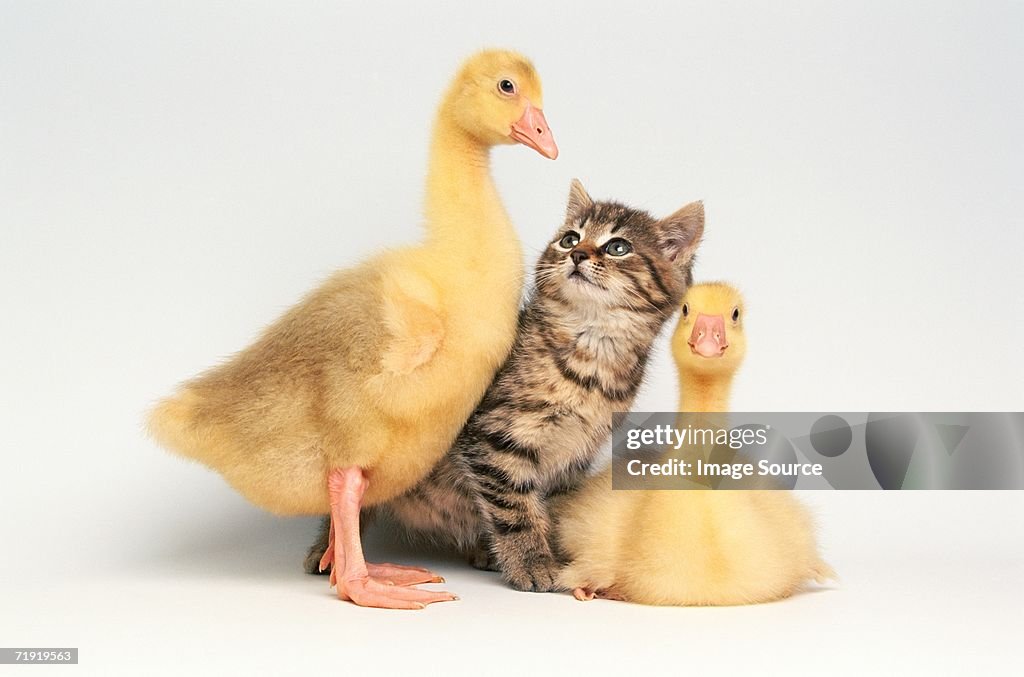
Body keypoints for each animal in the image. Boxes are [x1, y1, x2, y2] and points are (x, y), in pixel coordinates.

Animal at [303, 179, 704, 589]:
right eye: (570, 238)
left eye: (618, 247)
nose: (577, 254)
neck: (591, 351)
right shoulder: (494, 437)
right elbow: (515, 508)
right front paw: (532, 561)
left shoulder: (575, 455)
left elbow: (551, 509)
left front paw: (555, 552)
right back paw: (328, 554)